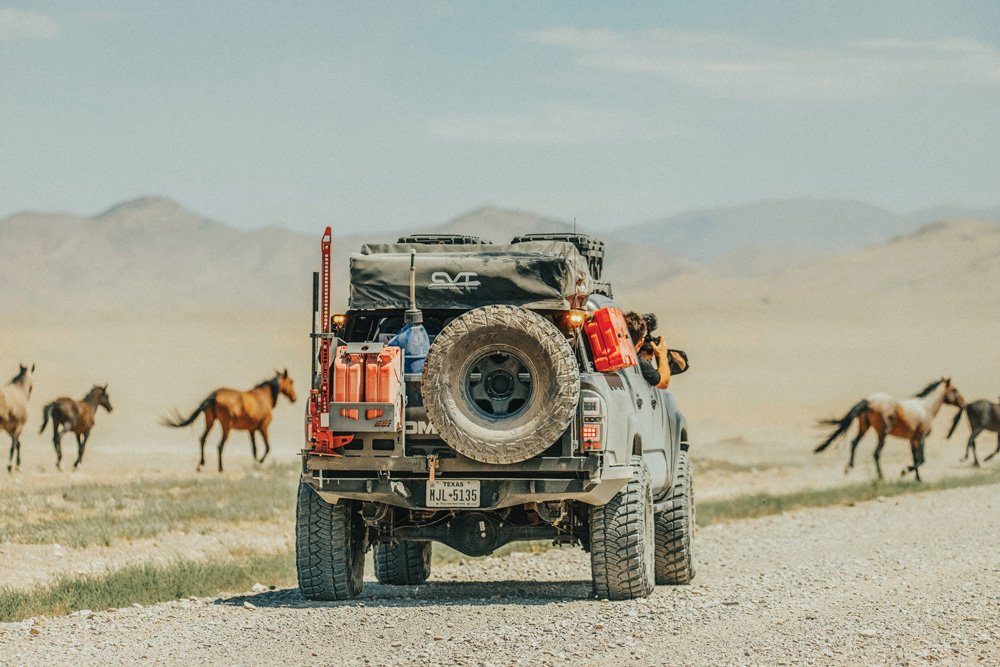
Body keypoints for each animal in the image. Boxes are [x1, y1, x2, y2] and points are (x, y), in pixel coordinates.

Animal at [162, 370, 296, 474]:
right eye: (291, 381)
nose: (295, 398)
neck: (263, 397)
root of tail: (213, 395)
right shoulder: (263, 427)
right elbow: (267, 447)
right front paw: (260, 461)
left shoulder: (251, 430)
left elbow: (254, 449)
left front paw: (255, 463)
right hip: (226, 426)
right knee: (220, 445)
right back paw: (220, 468)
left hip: (210, 421)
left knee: (203, 439)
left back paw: (201, 464)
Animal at [816, 378, 964, 482]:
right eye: (954, 389)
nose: (963, 403)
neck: (926, 408)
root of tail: (868, 401)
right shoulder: (921, 438)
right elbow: (922, 459)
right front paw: (904, 471)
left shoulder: (912, 440)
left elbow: (916, 458)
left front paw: (918, 479)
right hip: (882, 433)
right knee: (876, 453)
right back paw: (881, 476)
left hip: (864, 427)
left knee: (854, 443)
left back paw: (849, 467)